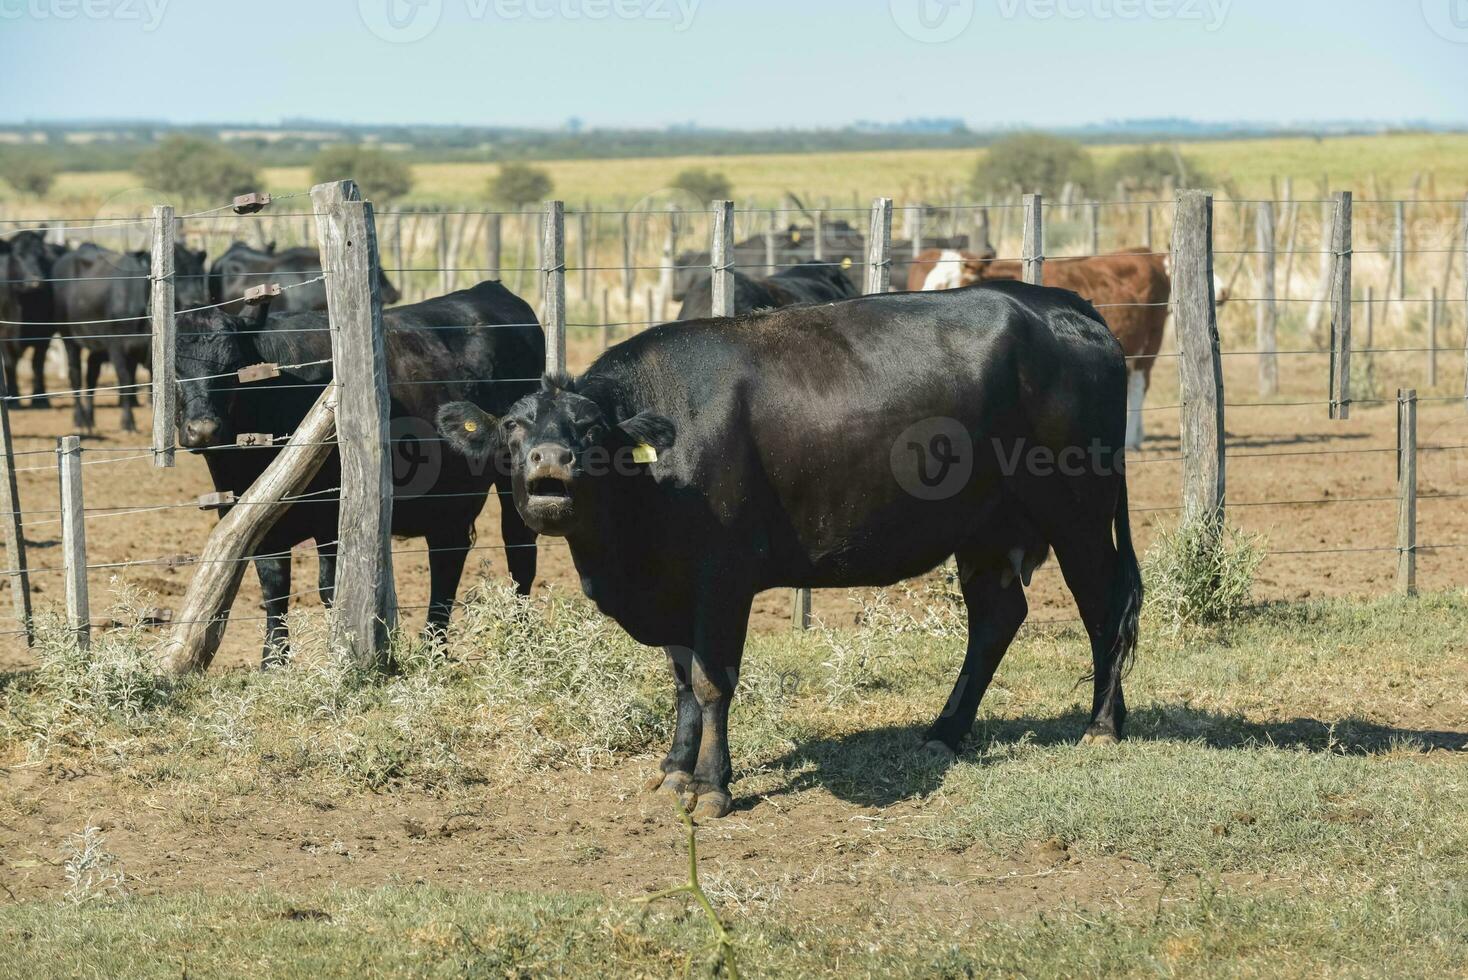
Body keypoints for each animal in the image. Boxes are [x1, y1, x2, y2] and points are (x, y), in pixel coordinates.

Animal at [53, 240, 208, 428]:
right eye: (176, 275)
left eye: (199, 274)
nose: (195, 300)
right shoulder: (116, 347)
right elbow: (126, 380)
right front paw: (128, 422)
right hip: (68, 336)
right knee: (75, 374)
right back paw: (79, 419)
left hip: (97, 345)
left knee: (91, 374)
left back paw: (90, 419)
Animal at [176, 283, 546, 666]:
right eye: (174, 366)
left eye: (233, 367)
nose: (203, 430)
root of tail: (488, 289)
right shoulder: (257, 519)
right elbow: (274, 588)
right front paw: (273, 662)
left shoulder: (331, 516)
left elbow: (331, 587)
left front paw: (340, 654)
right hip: (449, 496)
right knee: (448, 554)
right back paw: (434, 647)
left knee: (518, 549)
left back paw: (519, 639)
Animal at [434, 278, 1145, 815]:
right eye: (515, 426)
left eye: (588, 428)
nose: (550, 460)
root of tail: (1061, 304)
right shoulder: (672, 588)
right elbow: (681, 680)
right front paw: (674, 769)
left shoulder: (723, 579)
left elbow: (712, 682)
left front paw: (712, 786)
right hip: (987, 529)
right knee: (998, 618)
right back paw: (944, 733)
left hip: (1079, 512)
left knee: (1104, 609)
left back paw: (1102, 727)